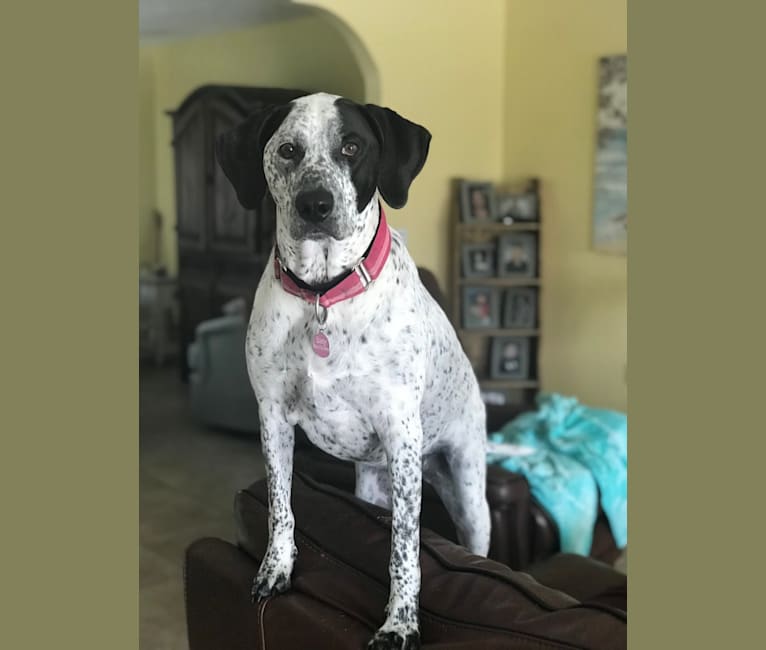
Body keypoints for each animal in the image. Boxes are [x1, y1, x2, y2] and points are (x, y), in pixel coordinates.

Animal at [216, 91, 492, 648]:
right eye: (288, 150)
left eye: (351, 147)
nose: (315, 205)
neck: (324, 292)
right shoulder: (272, 419)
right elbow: (280, 506)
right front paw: (276, 569)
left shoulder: (401, 434)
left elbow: (404, 547)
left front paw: (400, 621)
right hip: (371, 482)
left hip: (469, 492)